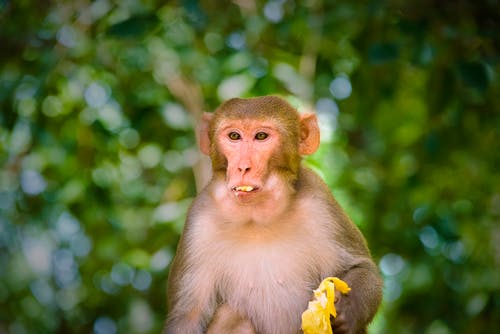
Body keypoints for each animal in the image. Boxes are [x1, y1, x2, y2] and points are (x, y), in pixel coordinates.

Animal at [164, 95, 382, 332]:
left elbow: (362, 267)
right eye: (234, 136)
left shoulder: (321, 203)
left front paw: (348, 310)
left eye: (261, 136)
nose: (243, 167)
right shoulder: (199, 221)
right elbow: (187, 317)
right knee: (231, 314)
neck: (258, 219)